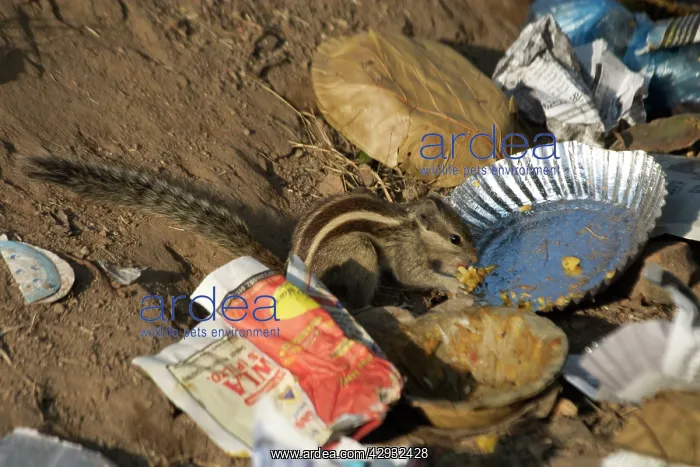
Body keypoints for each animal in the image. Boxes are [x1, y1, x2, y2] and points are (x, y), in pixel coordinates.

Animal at [21, 155, 479, 311]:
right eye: (455, 237)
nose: (474, 258)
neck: (412, 225)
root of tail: (294, 267)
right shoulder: (405, 252)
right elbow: (412, 275)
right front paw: (456, 285)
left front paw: (461, 276)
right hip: (360, 253)